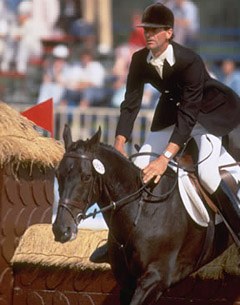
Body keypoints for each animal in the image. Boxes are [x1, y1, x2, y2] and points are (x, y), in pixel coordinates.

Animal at [52, 124, 232, 304]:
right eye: (57, 175)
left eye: (87, 177)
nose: (61, 230)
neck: (143, 212)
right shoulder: (127, 281)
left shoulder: (156, 279)